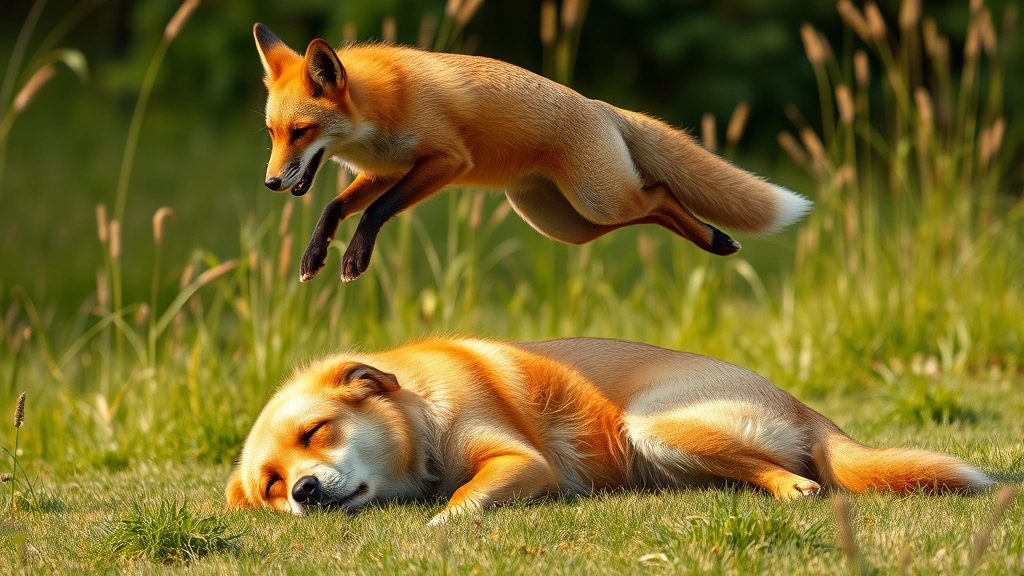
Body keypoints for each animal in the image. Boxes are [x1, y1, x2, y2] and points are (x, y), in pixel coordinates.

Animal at [253, 23, 812, 283]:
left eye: (301, 131)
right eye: (273, 133)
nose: (271, 184)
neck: (379, 110)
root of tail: (601, 107)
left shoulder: (445, 162)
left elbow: (373, 213)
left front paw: (354, 258)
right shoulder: (388, 171)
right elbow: (334, 207)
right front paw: (313, 255)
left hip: (596, 203)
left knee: (659, 193)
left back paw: (715, 240)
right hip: (569, 225)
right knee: (656, 205)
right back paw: (715, 240)